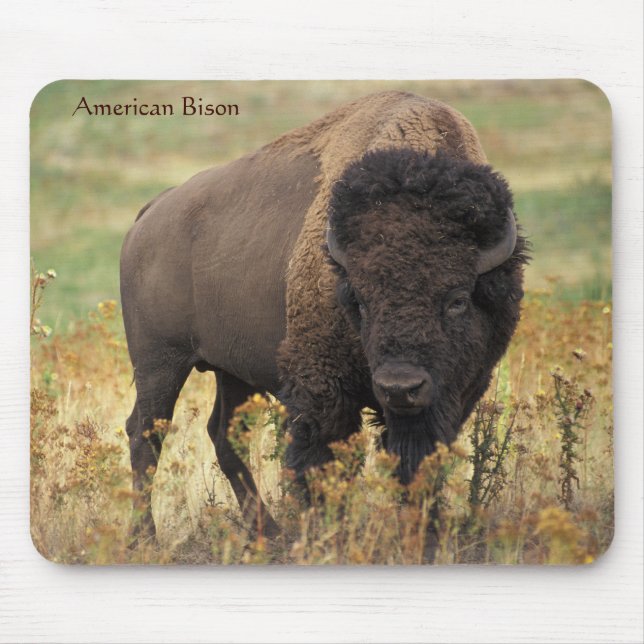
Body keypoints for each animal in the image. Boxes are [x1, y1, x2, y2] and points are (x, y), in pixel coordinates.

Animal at [120, 90, 527, 537]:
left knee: (223, 434)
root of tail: (151, 213)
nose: (399, 387)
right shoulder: (322, 388)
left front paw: (423, 530)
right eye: (360, 301)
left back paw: (268, 532)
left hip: (231, 370)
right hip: (159, 362)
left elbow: (418, 461)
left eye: (457, 299)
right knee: (146, 434)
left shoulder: (456, 391)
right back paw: (145, 536)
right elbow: (322, 462)